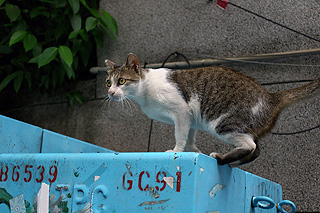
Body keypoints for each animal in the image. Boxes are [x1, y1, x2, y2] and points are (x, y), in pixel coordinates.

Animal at [104, 52, 318, 166]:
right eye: (108, 82)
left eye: (121, 81)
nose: (111, 92)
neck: (144, 93)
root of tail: (270, 96)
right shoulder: (190, 118)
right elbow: (190, 137)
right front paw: (195, 150)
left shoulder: (181, 112)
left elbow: (180, 136)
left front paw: (176, 150)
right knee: (256, 151)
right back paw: (229, 162)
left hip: (223, 123)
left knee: (250, 146)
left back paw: (222, 158)